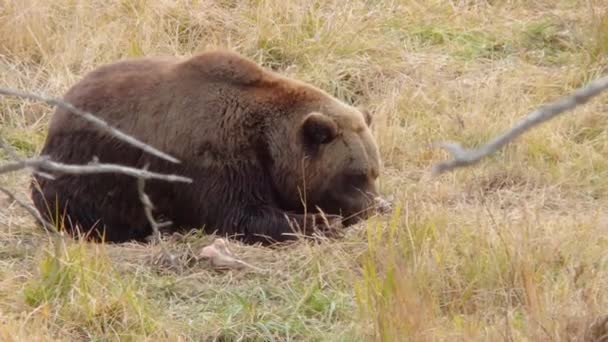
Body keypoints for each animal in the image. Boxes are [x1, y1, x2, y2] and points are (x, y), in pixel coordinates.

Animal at [30, 49, 382, 244]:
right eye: (354, 175)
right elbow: (241, 214)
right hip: (86, 173)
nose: (373, 206)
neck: (267, 144)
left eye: (374, 172)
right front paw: (320, 221)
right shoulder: (216, 157)